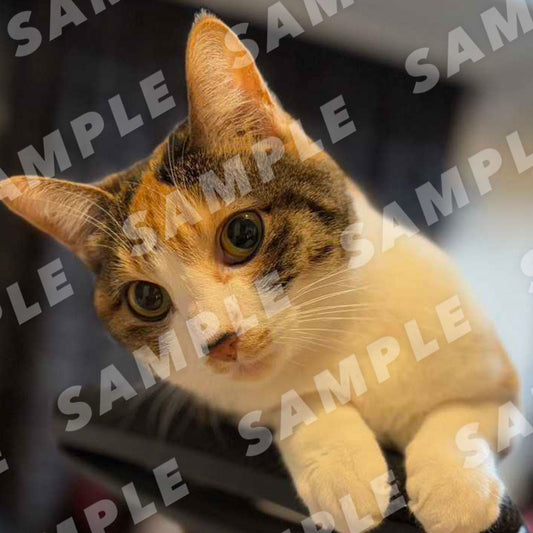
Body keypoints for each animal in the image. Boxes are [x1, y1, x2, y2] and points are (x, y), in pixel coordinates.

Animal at [0, 13, 519, 533]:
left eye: (243, 233)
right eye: (147, 299)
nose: (220, 343)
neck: (337, 338)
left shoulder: (503, 388)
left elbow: (467, 410)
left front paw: (456, 490)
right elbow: (291, 401)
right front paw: (343, 469)